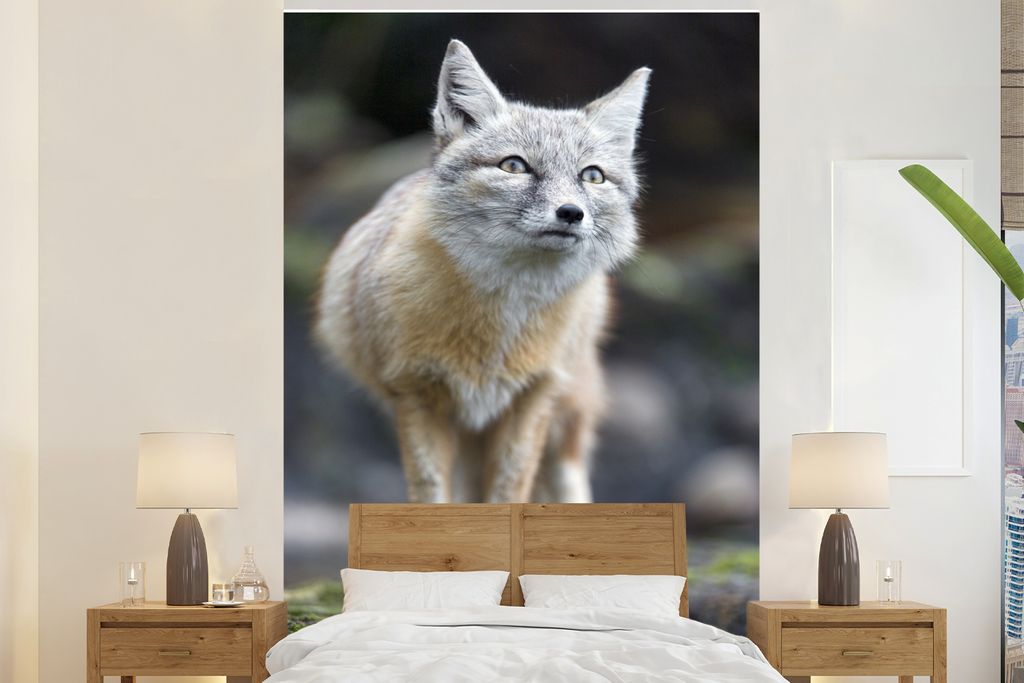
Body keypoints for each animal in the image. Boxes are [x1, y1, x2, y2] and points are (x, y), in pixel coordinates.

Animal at [315, 40, 650, 504]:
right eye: (514, 166)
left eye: (592, 176)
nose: (571, 213)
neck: (498, 332)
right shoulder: (416, 395)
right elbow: (432, 495)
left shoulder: (532, 399)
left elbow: (510, 493)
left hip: (562, 432)